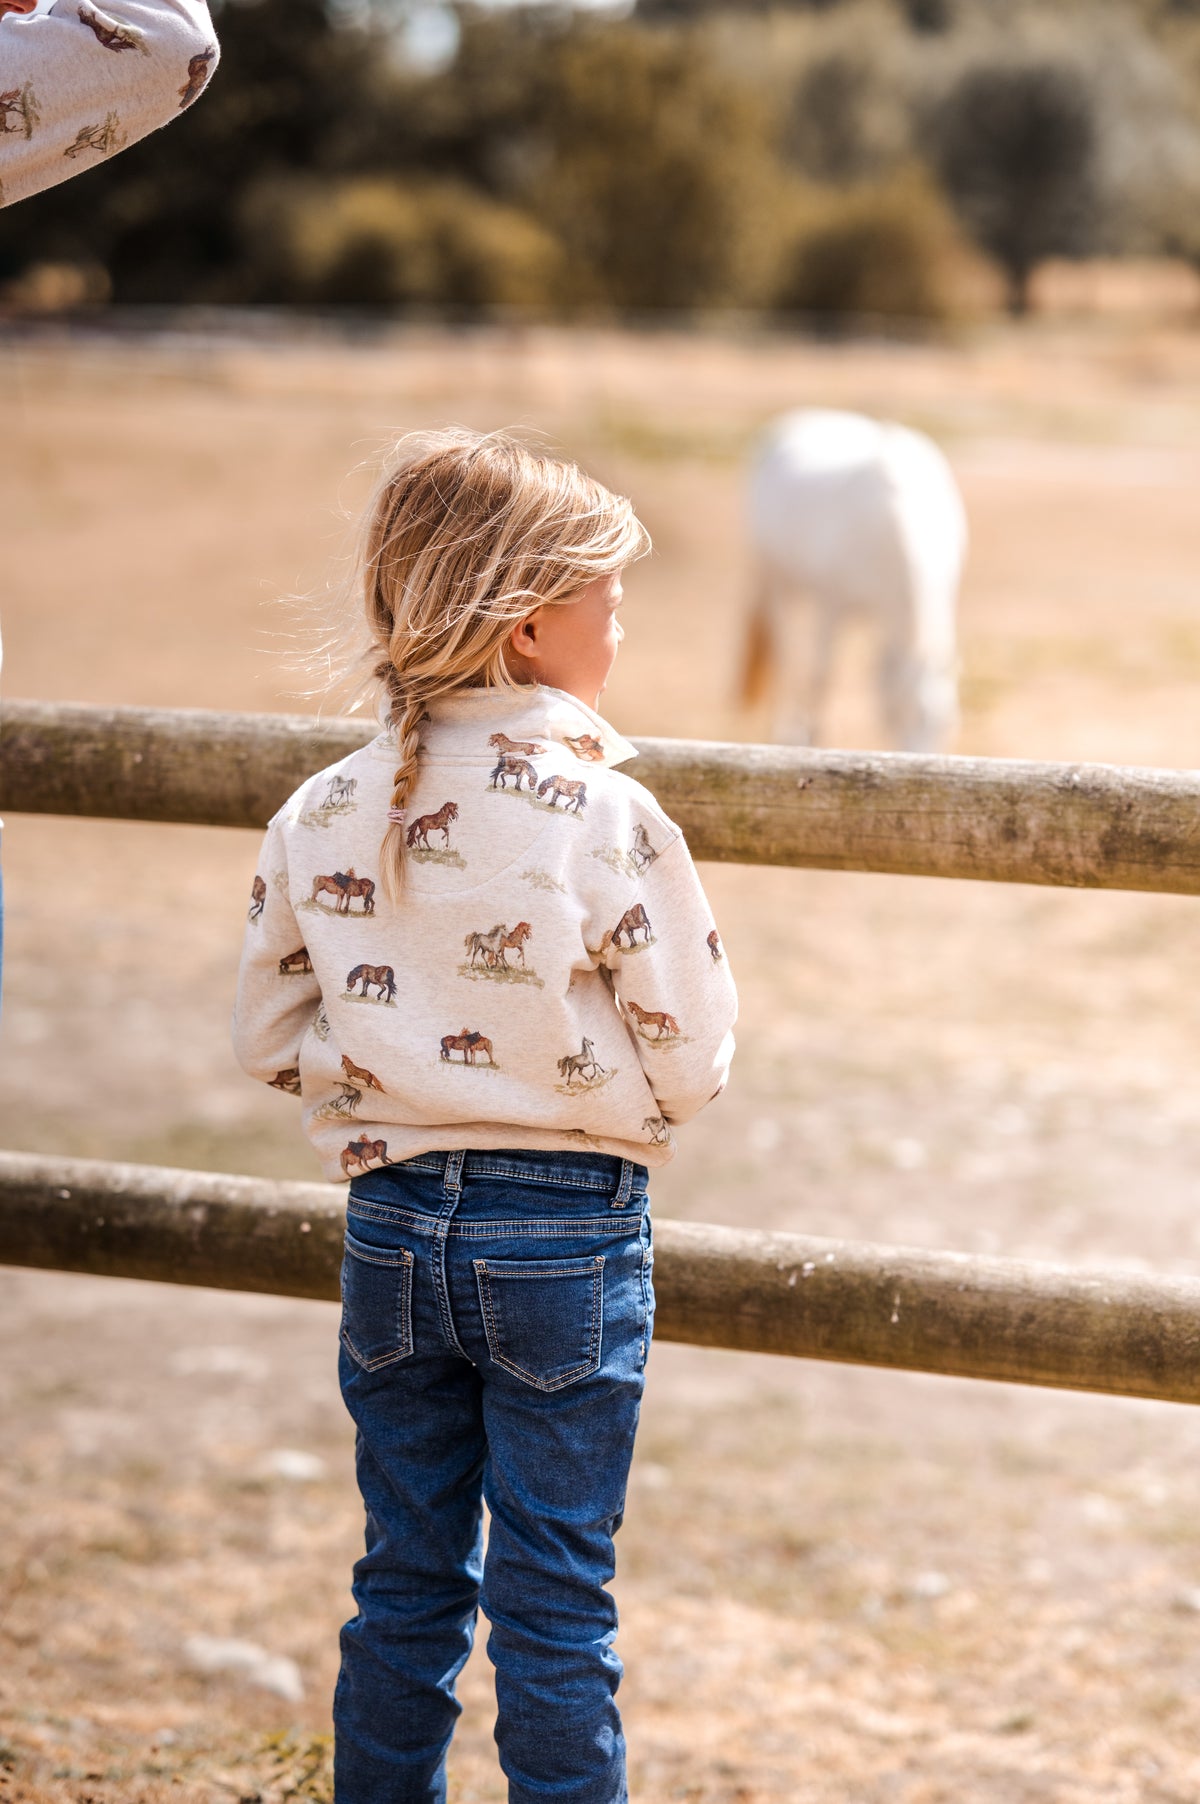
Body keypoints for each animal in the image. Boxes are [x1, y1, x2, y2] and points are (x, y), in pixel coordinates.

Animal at [743, 410, 966, 752]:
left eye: (946, 724)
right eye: (898, 714)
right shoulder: (832, 605)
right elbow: (821, 674)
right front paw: (810, 738)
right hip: (777, 579)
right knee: (787, 655)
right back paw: (785, 730)